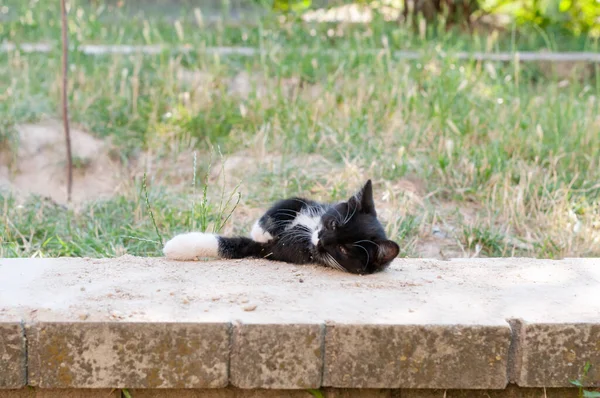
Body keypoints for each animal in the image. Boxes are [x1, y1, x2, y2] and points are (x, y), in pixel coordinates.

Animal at [162, 180, 400, 274]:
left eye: (343, 249)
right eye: (333, 224)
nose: (321, 240)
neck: (308, 230)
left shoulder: (276, 250)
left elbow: (237, 245)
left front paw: (178, 246)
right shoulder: (311, 204)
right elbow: (289, 202)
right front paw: (262, 228)